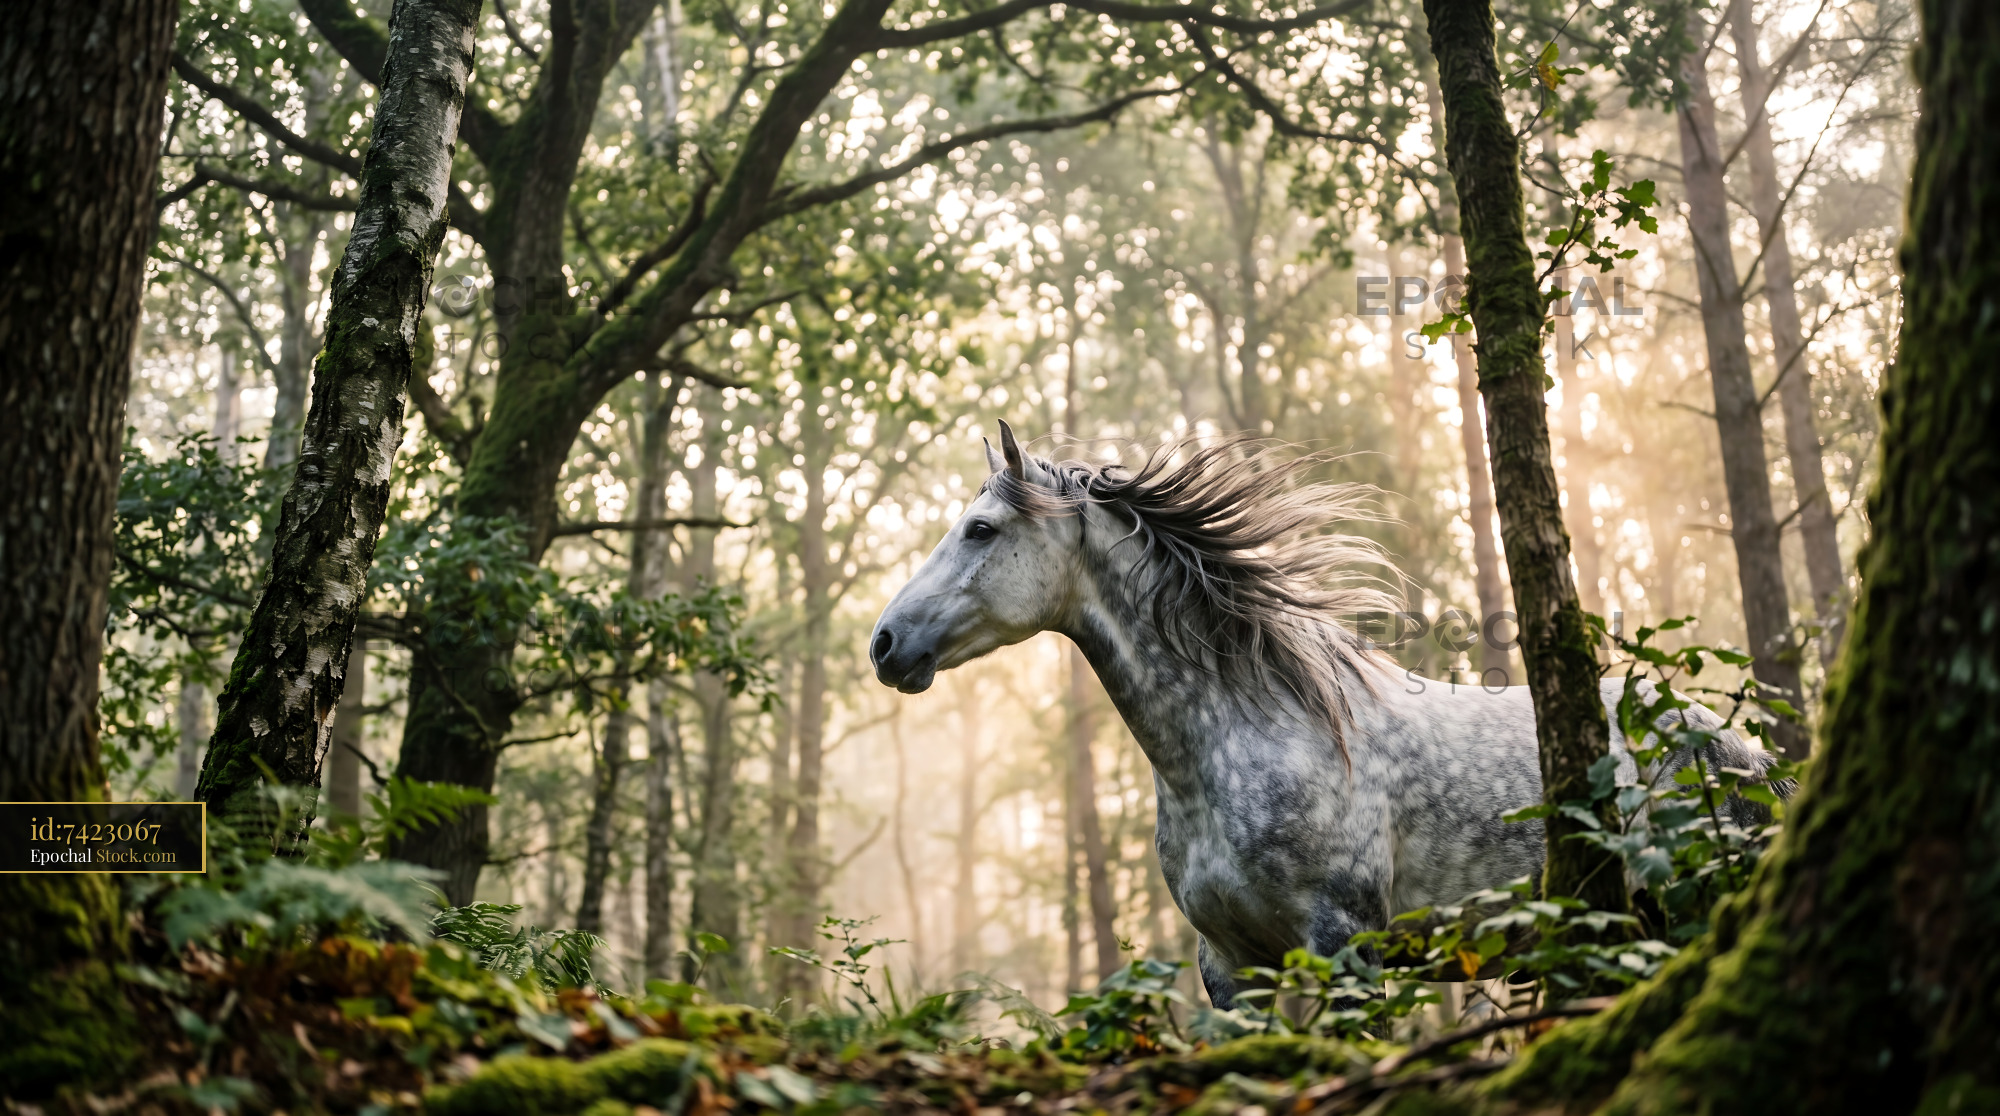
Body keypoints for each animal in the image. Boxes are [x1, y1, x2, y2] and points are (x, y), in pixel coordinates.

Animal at [867, 421, 1779, 1008]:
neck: (1243, 742)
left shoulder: (1345, 950)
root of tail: (1745, 752)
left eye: (981, 530)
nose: (884, 644)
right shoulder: (1232, 971)